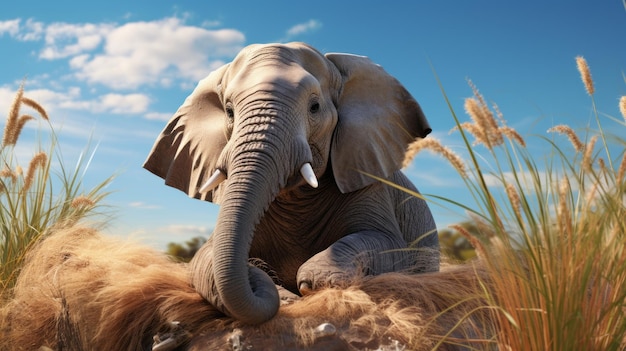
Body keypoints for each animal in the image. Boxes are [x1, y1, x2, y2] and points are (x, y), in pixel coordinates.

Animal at [144, 42, 438, 326]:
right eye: (229, 111)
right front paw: (279, 291)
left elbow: (389, 243)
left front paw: (313, 283)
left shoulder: (367, 175)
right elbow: (203, 256)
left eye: (314, 107)